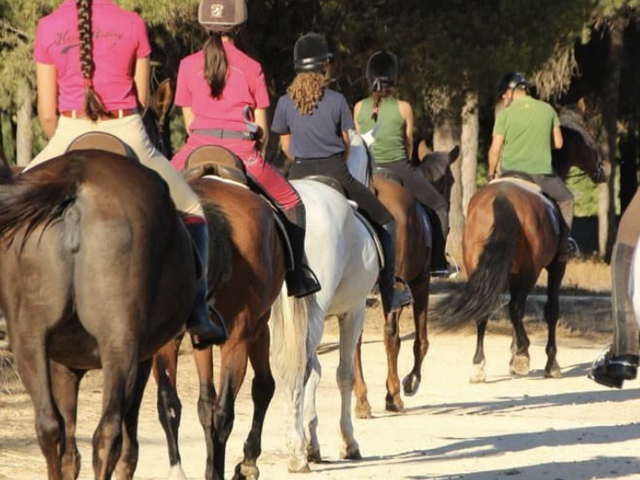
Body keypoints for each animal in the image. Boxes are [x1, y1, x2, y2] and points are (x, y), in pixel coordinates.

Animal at [0, 148, 223, 480]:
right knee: (108, 434)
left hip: (29, 342)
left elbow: (69, 451)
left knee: (50, 429)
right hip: (121, 347)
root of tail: (75, 182)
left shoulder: (62, 364)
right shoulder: (142, 359)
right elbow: (128, 448)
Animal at [151, 147, 287, 480]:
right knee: (226, 409)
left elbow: (202, 405)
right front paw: (244, 463)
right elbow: (256, 390)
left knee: (179, 404)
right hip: (241, 336)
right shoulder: (255, 328)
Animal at [269, 177, 380, 473]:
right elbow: (345, 375)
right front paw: (348, 442)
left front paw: (313, 441)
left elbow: (317, 374)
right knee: (301, 370)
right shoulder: (354, 312)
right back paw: (297, 453)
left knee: (289, 369)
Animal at [351, 145, 459, 416]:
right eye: (451, 180)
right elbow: (421, 340)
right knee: (391, 335)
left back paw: (362, 399)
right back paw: (394, 395)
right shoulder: (421, 282)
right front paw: (410, 381)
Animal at [433, 103, 608, 383]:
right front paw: (548, 362)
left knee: (486, 306)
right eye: (592, 132)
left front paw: (512, 354)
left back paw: (479, 365)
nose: (603, 169)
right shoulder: (555, 267)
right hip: (531, 269)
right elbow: (550, 310)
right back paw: (525, 354)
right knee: (515, 306)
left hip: (479, 267)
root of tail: (501, 198)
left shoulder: (508, 271)